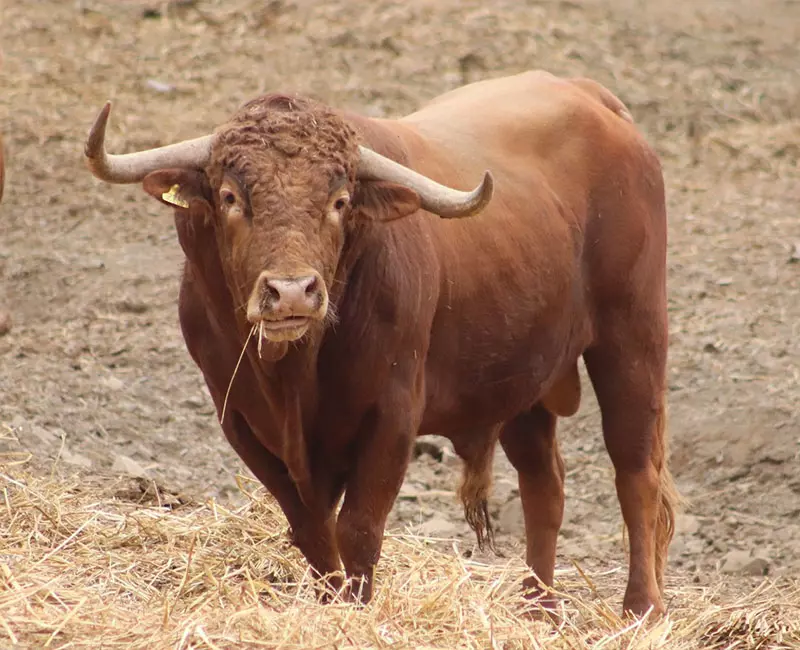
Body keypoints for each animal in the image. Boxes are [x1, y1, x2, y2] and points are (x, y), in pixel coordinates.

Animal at [84, 70, 679, 618]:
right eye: (231, 196)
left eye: (340, 200)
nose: (293, 292)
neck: (293, 377)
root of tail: (588, 94)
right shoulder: (243, 423)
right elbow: (312, 532)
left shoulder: (393, 416)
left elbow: (359, 530)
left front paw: (357, 611)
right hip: (522, 382)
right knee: (544, 486)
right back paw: (538, 608)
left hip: (633, 338)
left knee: (635, 473)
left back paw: (641, 608)